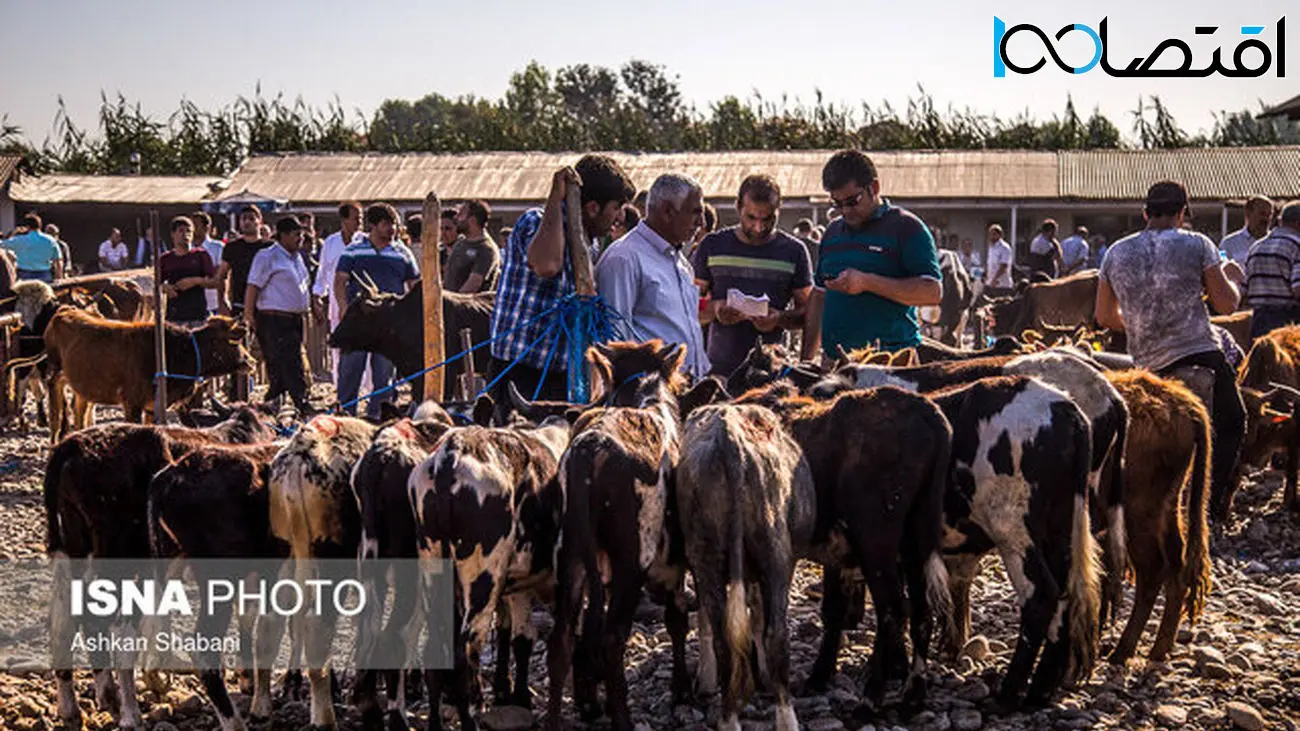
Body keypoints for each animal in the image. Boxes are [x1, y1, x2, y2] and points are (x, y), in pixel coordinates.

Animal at [41, 305, 250, 437]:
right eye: (234, 340)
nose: (250, 361)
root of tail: (65, 310)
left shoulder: (152, 406)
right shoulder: (132, 404)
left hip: (80, 384)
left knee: (80, 414)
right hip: (54, 372)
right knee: (55, 409)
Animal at [45, 405, 275, 728]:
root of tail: (70, 445)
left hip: (73, 547)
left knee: (65, 619)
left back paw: (74, 705)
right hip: (117, 555)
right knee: (103, 620)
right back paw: (123, 706)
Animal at [733, 377, 956, 712]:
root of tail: (927, 413)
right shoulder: (834, 557)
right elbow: (832, 612)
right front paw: (818, 675)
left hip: (876, 540)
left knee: (893, 609)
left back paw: (871, 697)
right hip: (916, 541)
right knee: (920, 611)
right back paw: (913, 693)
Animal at [1102, 366, 1211, 663]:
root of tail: (1185, 404)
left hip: (1138, 513)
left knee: (1153, 571)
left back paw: (1122, 651)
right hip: (1166, 507)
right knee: (1177, 564)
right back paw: (1159, 649)